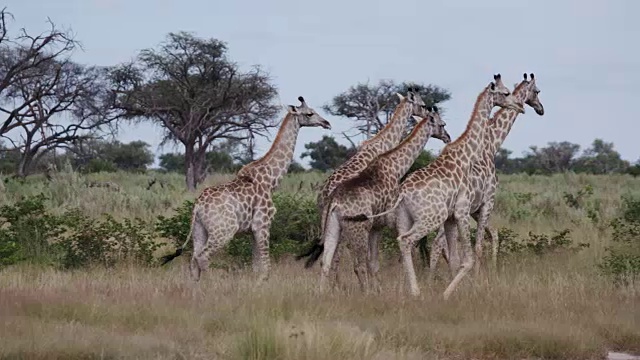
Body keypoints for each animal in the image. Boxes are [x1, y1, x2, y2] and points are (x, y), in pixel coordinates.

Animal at [160, 97, 332, 282]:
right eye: (309, 114)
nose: (327, 123)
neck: (271, 179)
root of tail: (197, 206)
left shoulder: (252, 230)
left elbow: (256, 266)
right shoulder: (262, 224)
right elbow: (266, 267)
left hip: (199, 230)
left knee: (193, 259)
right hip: (224, 230)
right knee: (202, 257)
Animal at [298, 89, 428, 270]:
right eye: (422, 104)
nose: (427, 113)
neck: (384, 142)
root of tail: (324, 194)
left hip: (325, 218)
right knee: (336, 257)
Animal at [314, 107, 452, 292]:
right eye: (442, 124)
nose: (448, 137)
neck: (396, 166)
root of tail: (332, 201)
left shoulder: (378, 226)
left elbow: (376, 262)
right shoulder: (390, 222)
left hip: (333, 227)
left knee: (326, 262)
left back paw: (324, 292)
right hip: (357, 229)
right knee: (356, 264)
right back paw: (363, 292)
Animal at [344, 74, 524, 298]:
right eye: (506, 93)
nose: (520, 106)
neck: (466, 155)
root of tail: (403, 194)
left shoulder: (450, 218)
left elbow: (455, 258)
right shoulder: (462, 210)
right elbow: (468, 258)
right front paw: (448, 294)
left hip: (405, 218)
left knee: (402, 242)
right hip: (431, 217)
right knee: (406, 241)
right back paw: (415, 291)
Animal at [430, 73, 544, 276]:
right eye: (537, 91)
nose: (541, 109)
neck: (492, 143)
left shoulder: (477, 209)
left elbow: (494, 234)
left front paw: (489, 269)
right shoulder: (487, 201)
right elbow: (479, 245)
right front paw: (479, 276)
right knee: (438, 244)